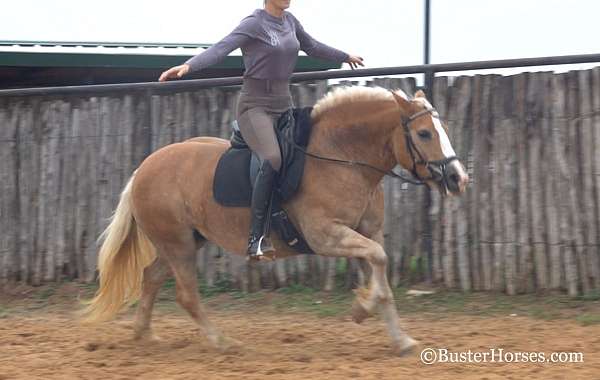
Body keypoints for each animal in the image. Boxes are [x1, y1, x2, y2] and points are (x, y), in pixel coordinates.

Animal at [83, 86, 468, 356]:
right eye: (424, 134)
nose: (457, 178)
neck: (342, 157)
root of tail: (143, 169)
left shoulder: (365, 232)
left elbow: (381, 275)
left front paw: (396, 336)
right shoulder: (325, 235)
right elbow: (379, 262)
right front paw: (363, 308)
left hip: (183, 242)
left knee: (150, 278)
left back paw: (145, 334)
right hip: (178, 245)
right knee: (187, 294)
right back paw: (223, 342)